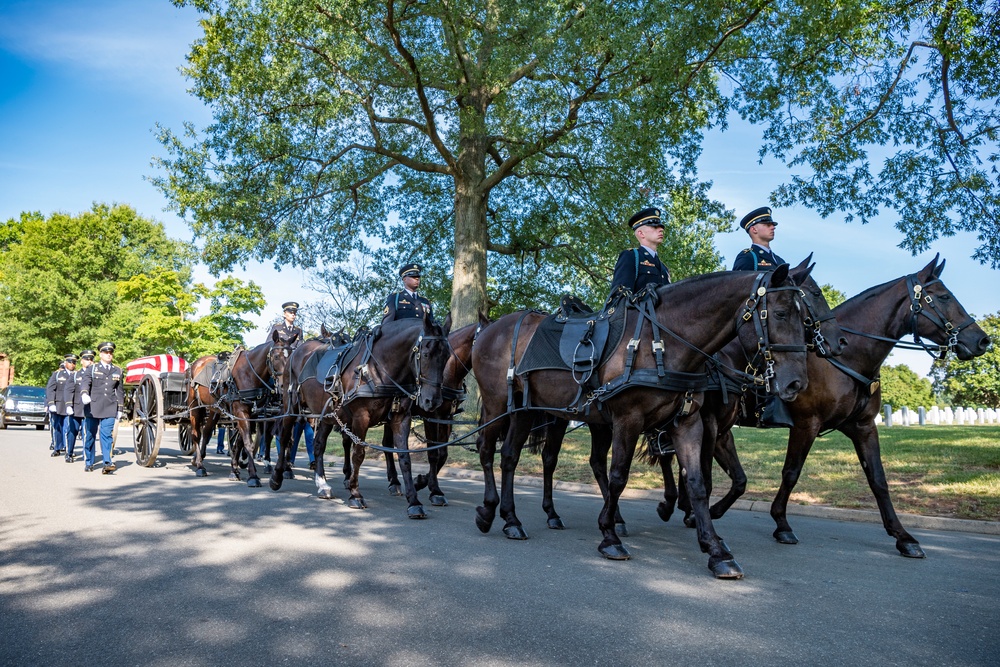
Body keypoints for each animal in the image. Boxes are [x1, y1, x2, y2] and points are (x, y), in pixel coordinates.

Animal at [188, 332, 294, 488]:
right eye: (276, 356)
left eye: (292, 356)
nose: (285, 385)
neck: (249, 373)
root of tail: (196, 363)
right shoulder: (241, 412)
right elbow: (248, 442)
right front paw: (253, 476)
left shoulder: (253, 415)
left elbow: (240, 442)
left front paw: (235, 470)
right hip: (194, 408)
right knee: (196, 434)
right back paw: (200, 466)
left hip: (214, 409)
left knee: (206, 432)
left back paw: (199, 459)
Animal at [270, 314, 450, 516]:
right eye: (426, 354)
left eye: (447, 356)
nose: (432, 400)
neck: (378, 368)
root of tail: (297, 351)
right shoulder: (360, 418)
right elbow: (358, 455)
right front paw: (355, 494)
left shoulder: (401, 418)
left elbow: (405, 459)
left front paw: (413, 501)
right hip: (291, 406)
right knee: (285, 436)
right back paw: (277, 476)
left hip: (326, 415)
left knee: (318, 445)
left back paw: (322, 484)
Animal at [470, 266, 812, 580]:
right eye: (780, 314)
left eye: (805, 319)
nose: (797, 383)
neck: (661, 342)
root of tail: (491, 327)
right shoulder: (628, 420)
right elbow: (619, 476)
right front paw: (609, 535)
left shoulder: (688, 423)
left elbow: (698, 483)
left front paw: (716, 549)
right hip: (498, 403)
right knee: (488, 449)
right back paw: (489, 510)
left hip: (527, 410)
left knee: (510, 456)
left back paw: (512, 519)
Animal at [660, 256, 988, 560]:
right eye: (944, 297)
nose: (982, 340)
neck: (848, 359)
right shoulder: (806, 424)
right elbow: (791, 472)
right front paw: (781, 524)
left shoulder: (864, 427)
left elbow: (878, 480)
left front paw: (903, 536)